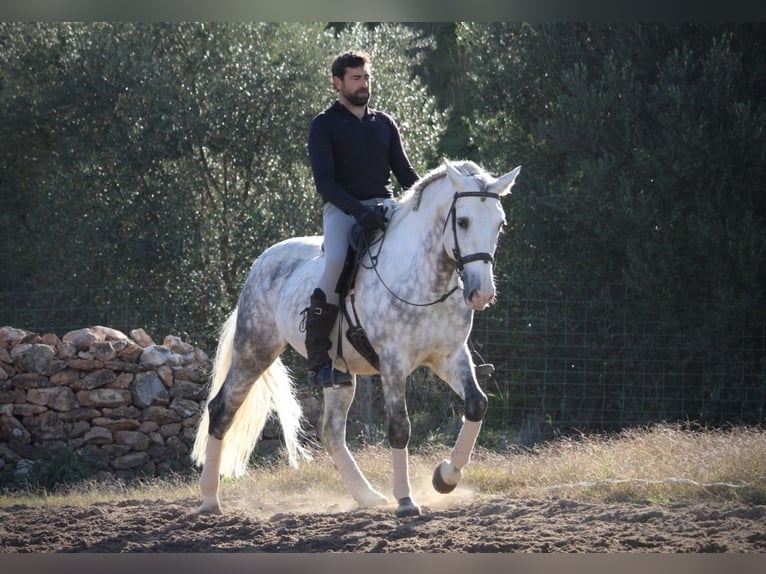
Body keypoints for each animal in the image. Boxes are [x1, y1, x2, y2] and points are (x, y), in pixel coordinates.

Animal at [191, 159, 521, 517]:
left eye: (500, 224)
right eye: (463, 221)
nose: (481, 293)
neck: (425, 279)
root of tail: (261, 263)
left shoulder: (450, 357)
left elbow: (476, 405)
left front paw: (445, 478)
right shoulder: (393, 362)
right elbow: (399, 427)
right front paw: (406, 500)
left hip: (339, 373)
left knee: (331, 431)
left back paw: (368, 495)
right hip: (255, 350)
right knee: (221, 409)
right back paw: (209, 499)